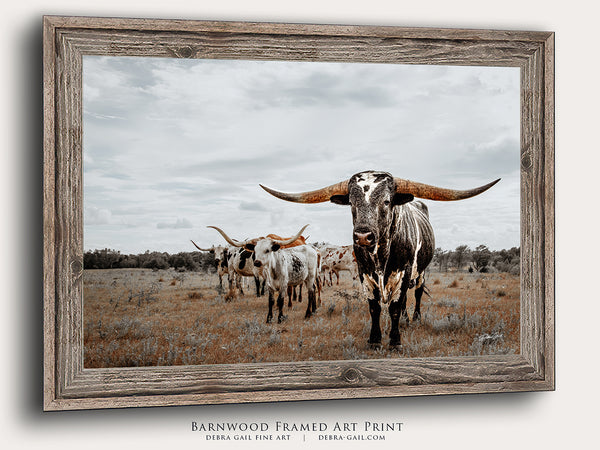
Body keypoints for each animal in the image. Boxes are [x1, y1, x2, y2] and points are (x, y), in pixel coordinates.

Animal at [260, 171, 500, 346]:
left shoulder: (403, 271)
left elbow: (394, 306)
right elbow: (375, 307)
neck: (380, 255)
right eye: (352, 203)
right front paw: (375, 340)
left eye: (386, 201)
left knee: (416, 294)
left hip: (421, 271)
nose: (362, 236)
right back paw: (405, 319)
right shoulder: (364, 273)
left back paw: (414, 318)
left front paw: (395, 340)